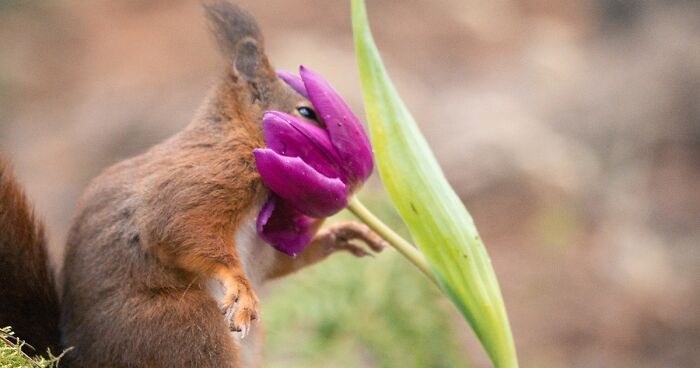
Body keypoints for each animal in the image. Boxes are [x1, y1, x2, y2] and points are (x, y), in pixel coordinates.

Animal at [0, 2, 386, 366]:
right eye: (306, 113)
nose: (355, 175)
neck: (239, 136)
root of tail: (75, 357)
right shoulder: (208, 176)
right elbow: (180, 224)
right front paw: (238, 283)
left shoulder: (263, 245)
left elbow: (278, 262)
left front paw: (341, 235)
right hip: (184, 325)